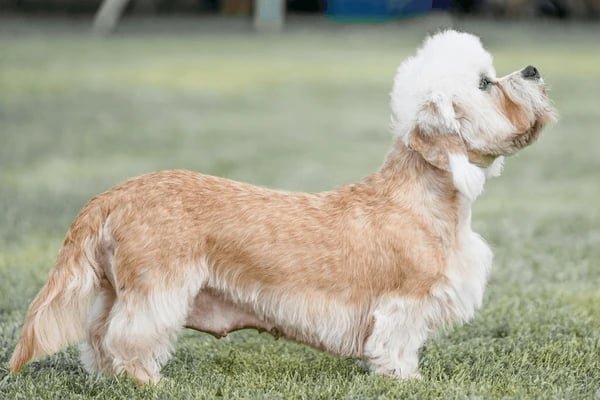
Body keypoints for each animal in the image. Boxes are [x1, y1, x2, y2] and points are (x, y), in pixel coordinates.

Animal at [9, 30, 556, 384]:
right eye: (486, 83)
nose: (534, 69)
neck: (420, 200)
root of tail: (112, 195)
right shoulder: (404, 302)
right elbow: (396, 345)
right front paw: (404, 380)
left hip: (112, 288)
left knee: (97, 333)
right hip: (156, 290)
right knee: (126, 336)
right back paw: (147, 380)